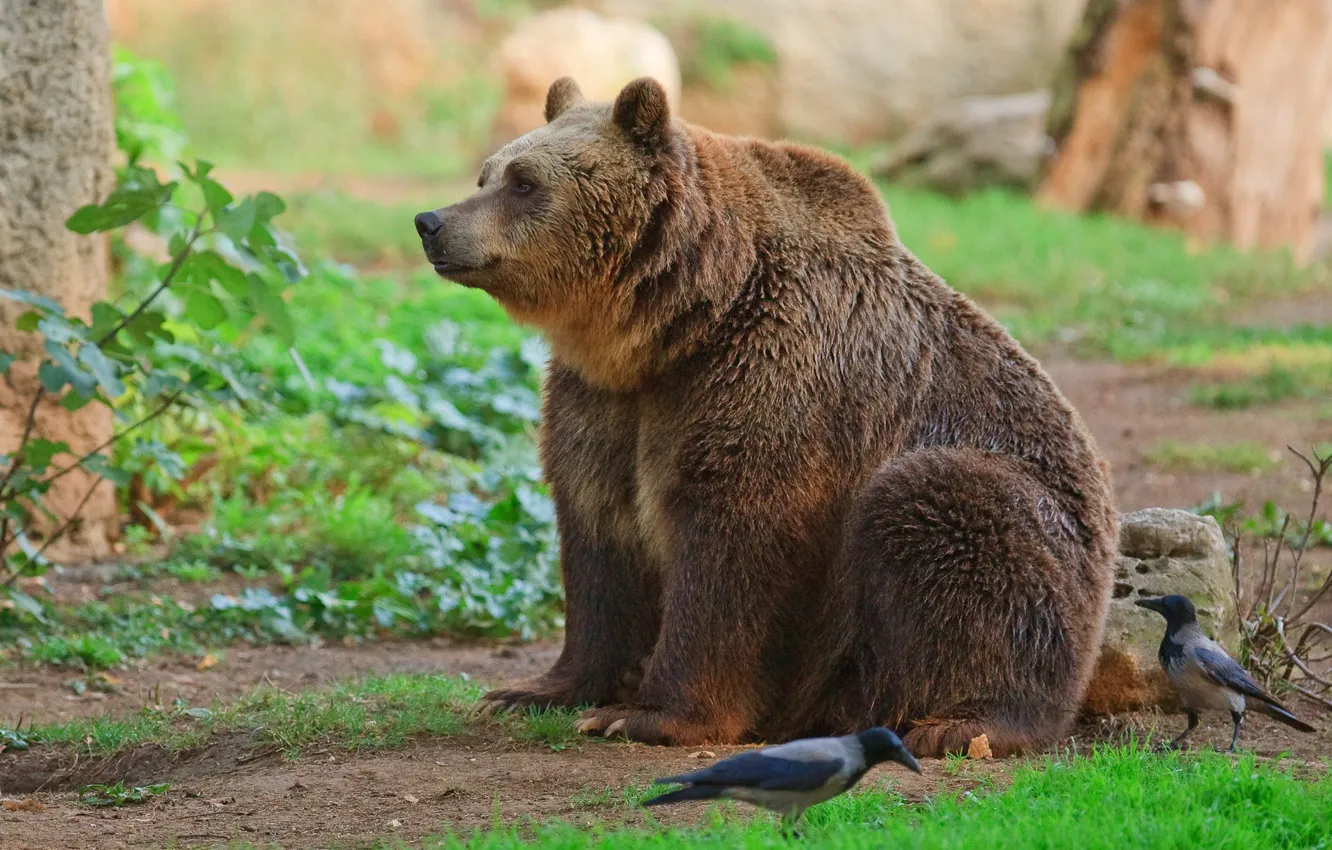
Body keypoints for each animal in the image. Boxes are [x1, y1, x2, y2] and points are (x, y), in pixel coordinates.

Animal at [413, 76, 1118, 757]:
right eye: (486, 173)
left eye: (524, 181)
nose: (431, 221)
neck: (678, 322)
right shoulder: (604, 403)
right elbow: (599, 536)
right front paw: (533, 690)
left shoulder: (773, 378)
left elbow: (735, 545)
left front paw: (646, 715)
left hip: (1014, 516)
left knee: (946, 515)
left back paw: (964, 722)